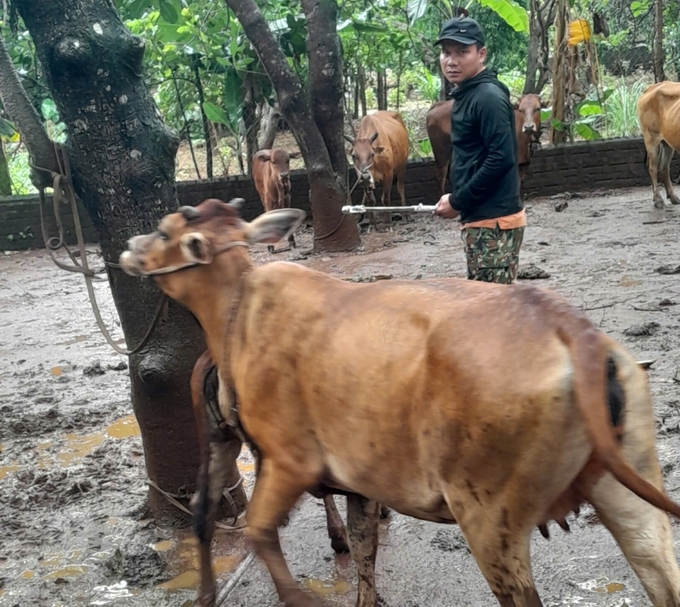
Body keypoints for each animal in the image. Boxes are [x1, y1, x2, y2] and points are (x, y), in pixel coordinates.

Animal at [119, 200, 680, 607]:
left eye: (165, 232)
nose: (128, 246)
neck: (238, 310)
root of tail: (570, 328)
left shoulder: (289, 461)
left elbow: (259, 533)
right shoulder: (356, 482)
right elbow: (363, 548)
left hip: (489, 522)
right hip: (628, 492)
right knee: (660, 573)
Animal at [636, 81, 680, 209]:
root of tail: (652, 87)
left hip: (667, 144)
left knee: (664, 168)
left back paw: (673, 197)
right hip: (651, 140)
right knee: (653, 169)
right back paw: (658, 200)